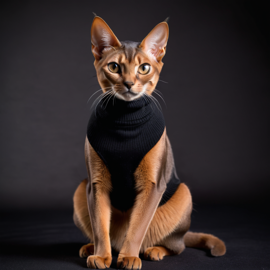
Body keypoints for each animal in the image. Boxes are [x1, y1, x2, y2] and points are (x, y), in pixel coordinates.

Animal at [73, 15, 226, 268]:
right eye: (114, 67)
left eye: (143, 68)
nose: (128, 83)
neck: (125, 119)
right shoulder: (96, 183)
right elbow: (100, 226)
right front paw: (102, 256)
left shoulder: (152, 184)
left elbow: (137, 228)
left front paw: (129, 257)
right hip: (80, 188)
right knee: (106, 234)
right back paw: (90, 247)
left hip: (183, 193)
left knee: (177, 245)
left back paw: (153, 250)